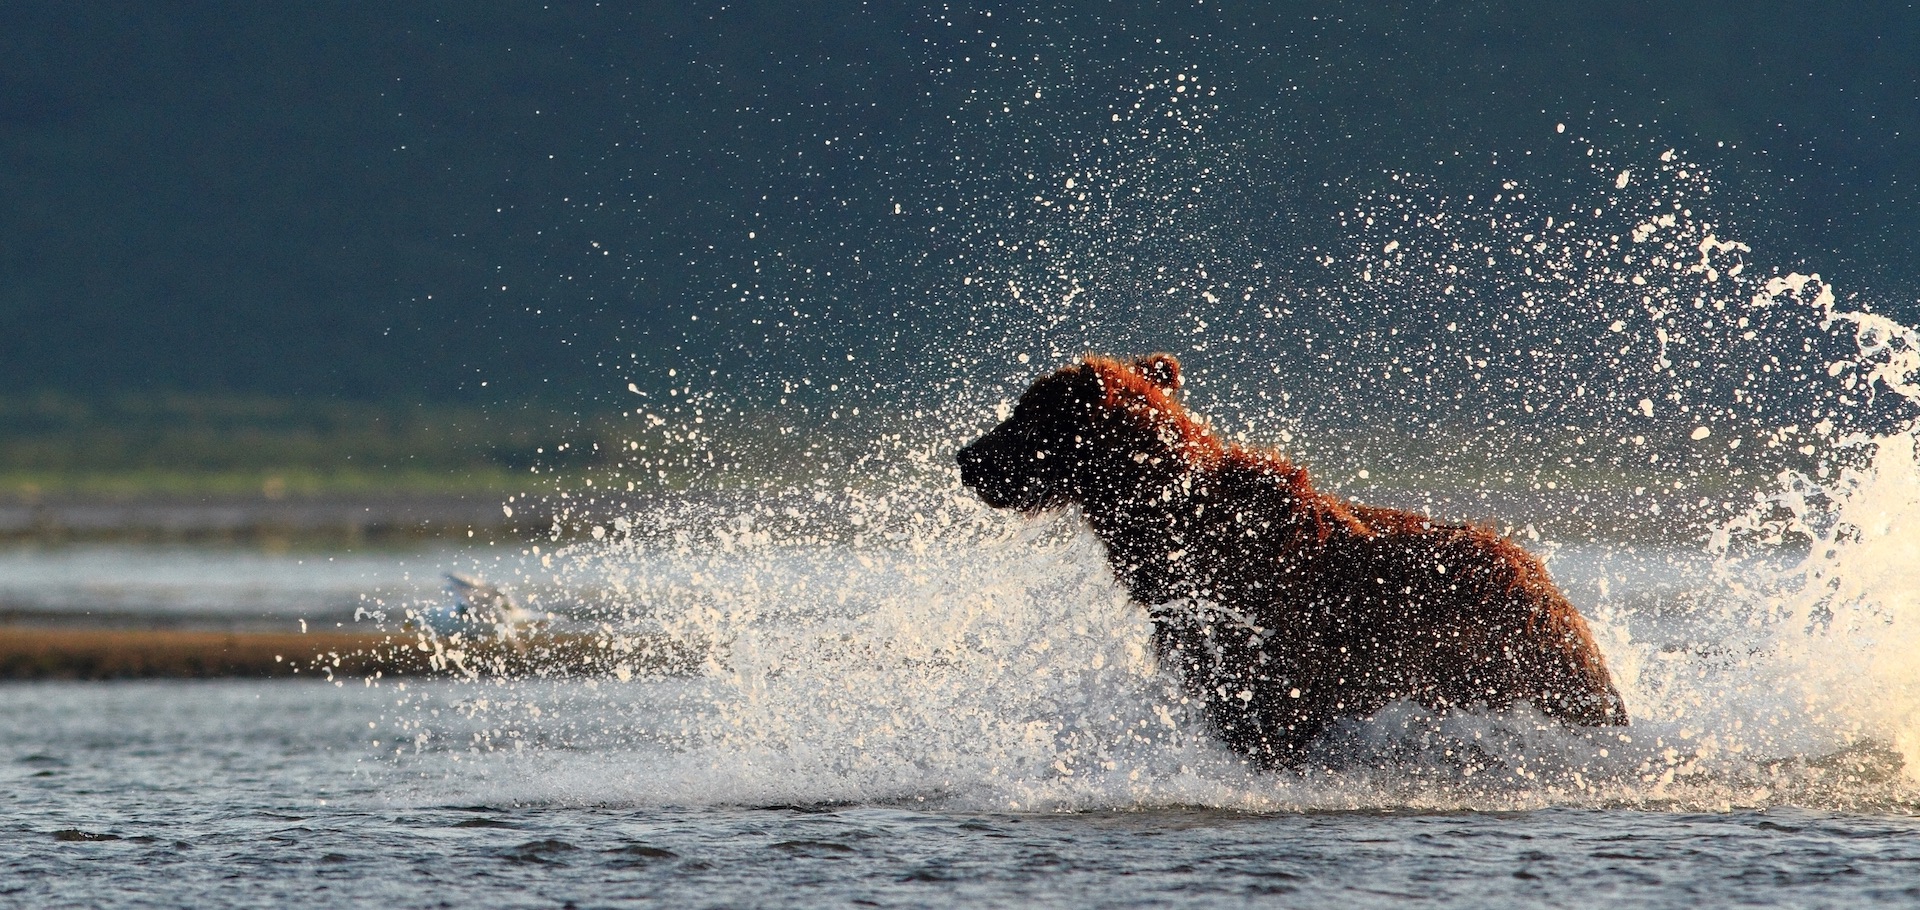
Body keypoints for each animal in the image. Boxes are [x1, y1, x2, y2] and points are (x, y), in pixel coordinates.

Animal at [956, 353, 1628, 769]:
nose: (967, 458)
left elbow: (1262, 719)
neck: (1169, 526)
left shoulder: (1266, 634)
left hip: (1503, 658)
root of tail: (1550, 585)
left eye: (1022, 416)